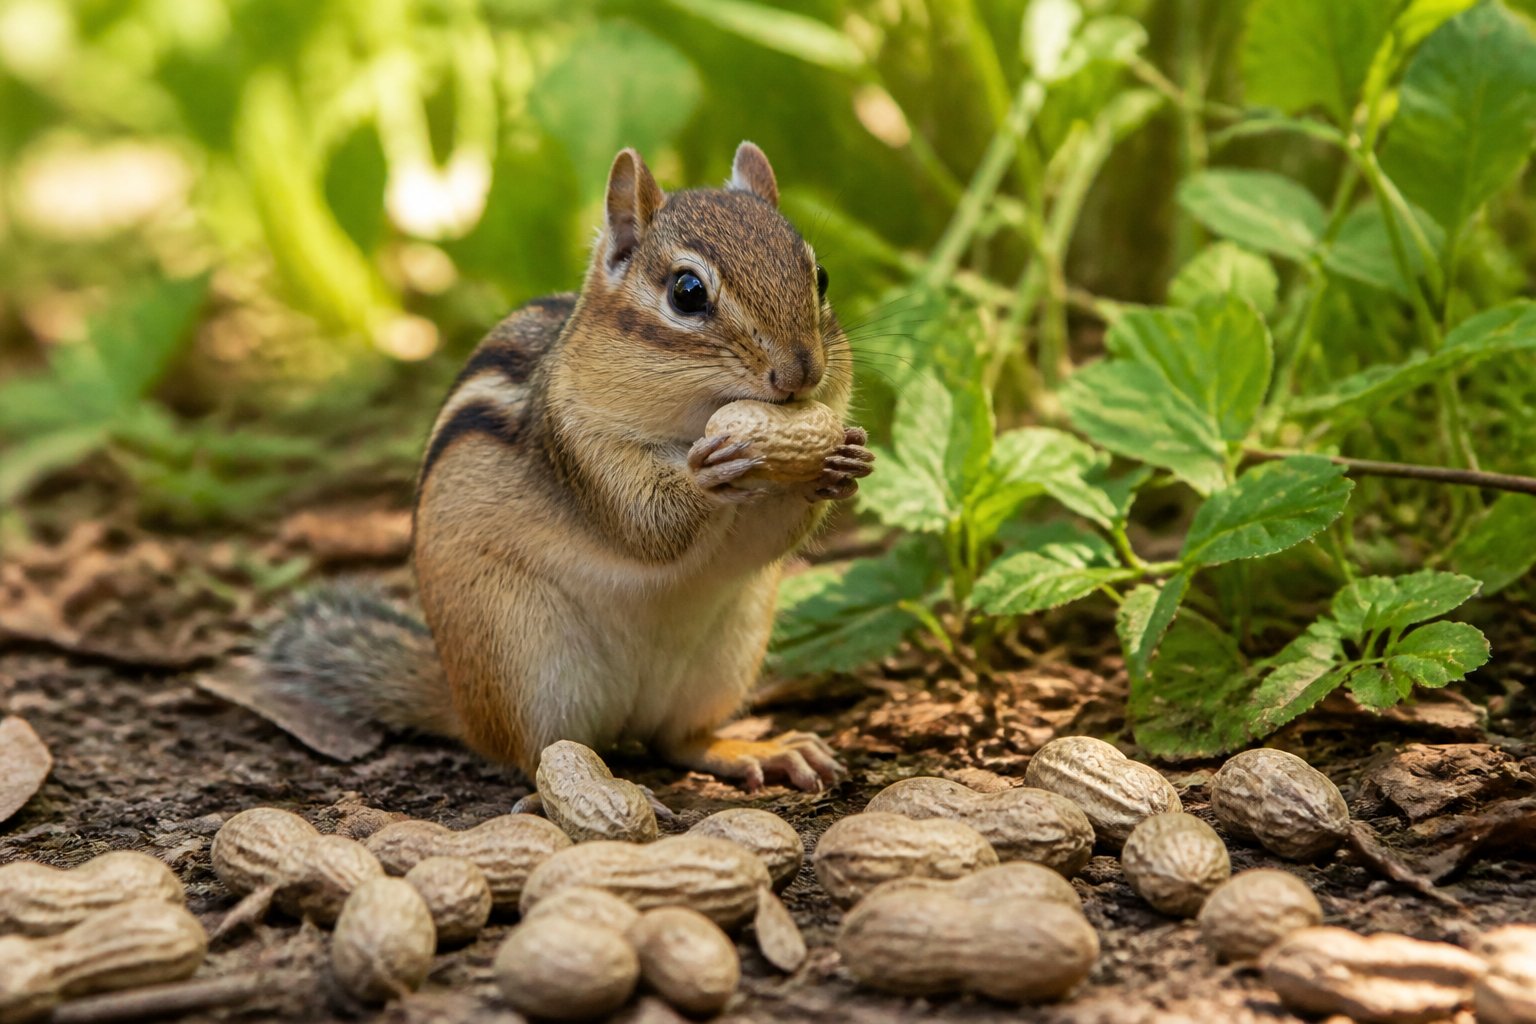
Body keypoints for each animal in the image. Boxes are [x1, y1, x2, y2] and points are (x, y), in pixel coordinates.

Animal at [257, 142, 874, 792]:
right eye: (686, 292)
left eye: (821, 278)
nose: (801, 373)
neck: (685, 423)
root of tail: (464, 705)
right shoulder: (578, 445)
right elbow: (647, 523)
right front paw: (711, 471)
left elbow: (771, 535)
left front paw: (842, 461)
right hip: (524, 662)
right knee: (541, 757)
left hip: (725, 655)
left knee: (678, 741)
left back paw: (758, 750)